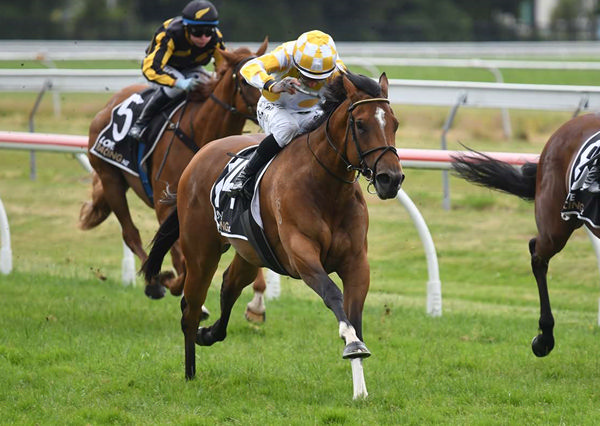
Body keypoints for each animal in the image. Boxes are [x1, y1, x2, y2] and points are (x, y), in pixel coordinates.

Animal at [79, 40, 270, 316]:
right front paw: (179, 287)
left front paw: (257, 302)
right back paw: (155, 283)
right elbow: (179, 255)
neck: (200, 133)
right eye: (245, 82)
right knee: (130, 233)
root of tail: (109, 104)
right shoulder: (167, 203)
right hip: (111, 179)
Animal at [141, 72, 404, 400]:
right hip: (201, 252)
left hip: (250, 253)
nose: (391, 179)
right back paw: (190, 372)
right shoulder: (302, 256)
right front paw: (352, 343)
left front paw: (360, 389)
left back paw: (210, 333)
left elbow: (353, 314)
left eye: (394, 123)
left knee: (229, 285)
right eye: (360, 124)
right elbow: (333, 295)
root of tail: (198, 156)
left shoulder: (356, 262)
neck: (325, 188)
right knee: (190, 308)